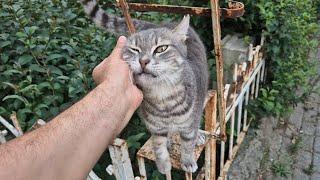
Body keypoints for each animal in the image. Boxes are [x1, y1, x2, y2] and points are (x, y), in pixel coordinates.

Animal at [81, 0, 209, 174]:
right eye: (134, 50)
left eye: (161, 48)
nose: (143, 61)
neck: (163, 97)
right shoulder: (155, 128)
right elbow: (159, 147)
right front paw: (163, 164)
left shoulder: (190, 124)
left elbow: (188, 144)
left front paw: (188, 160)